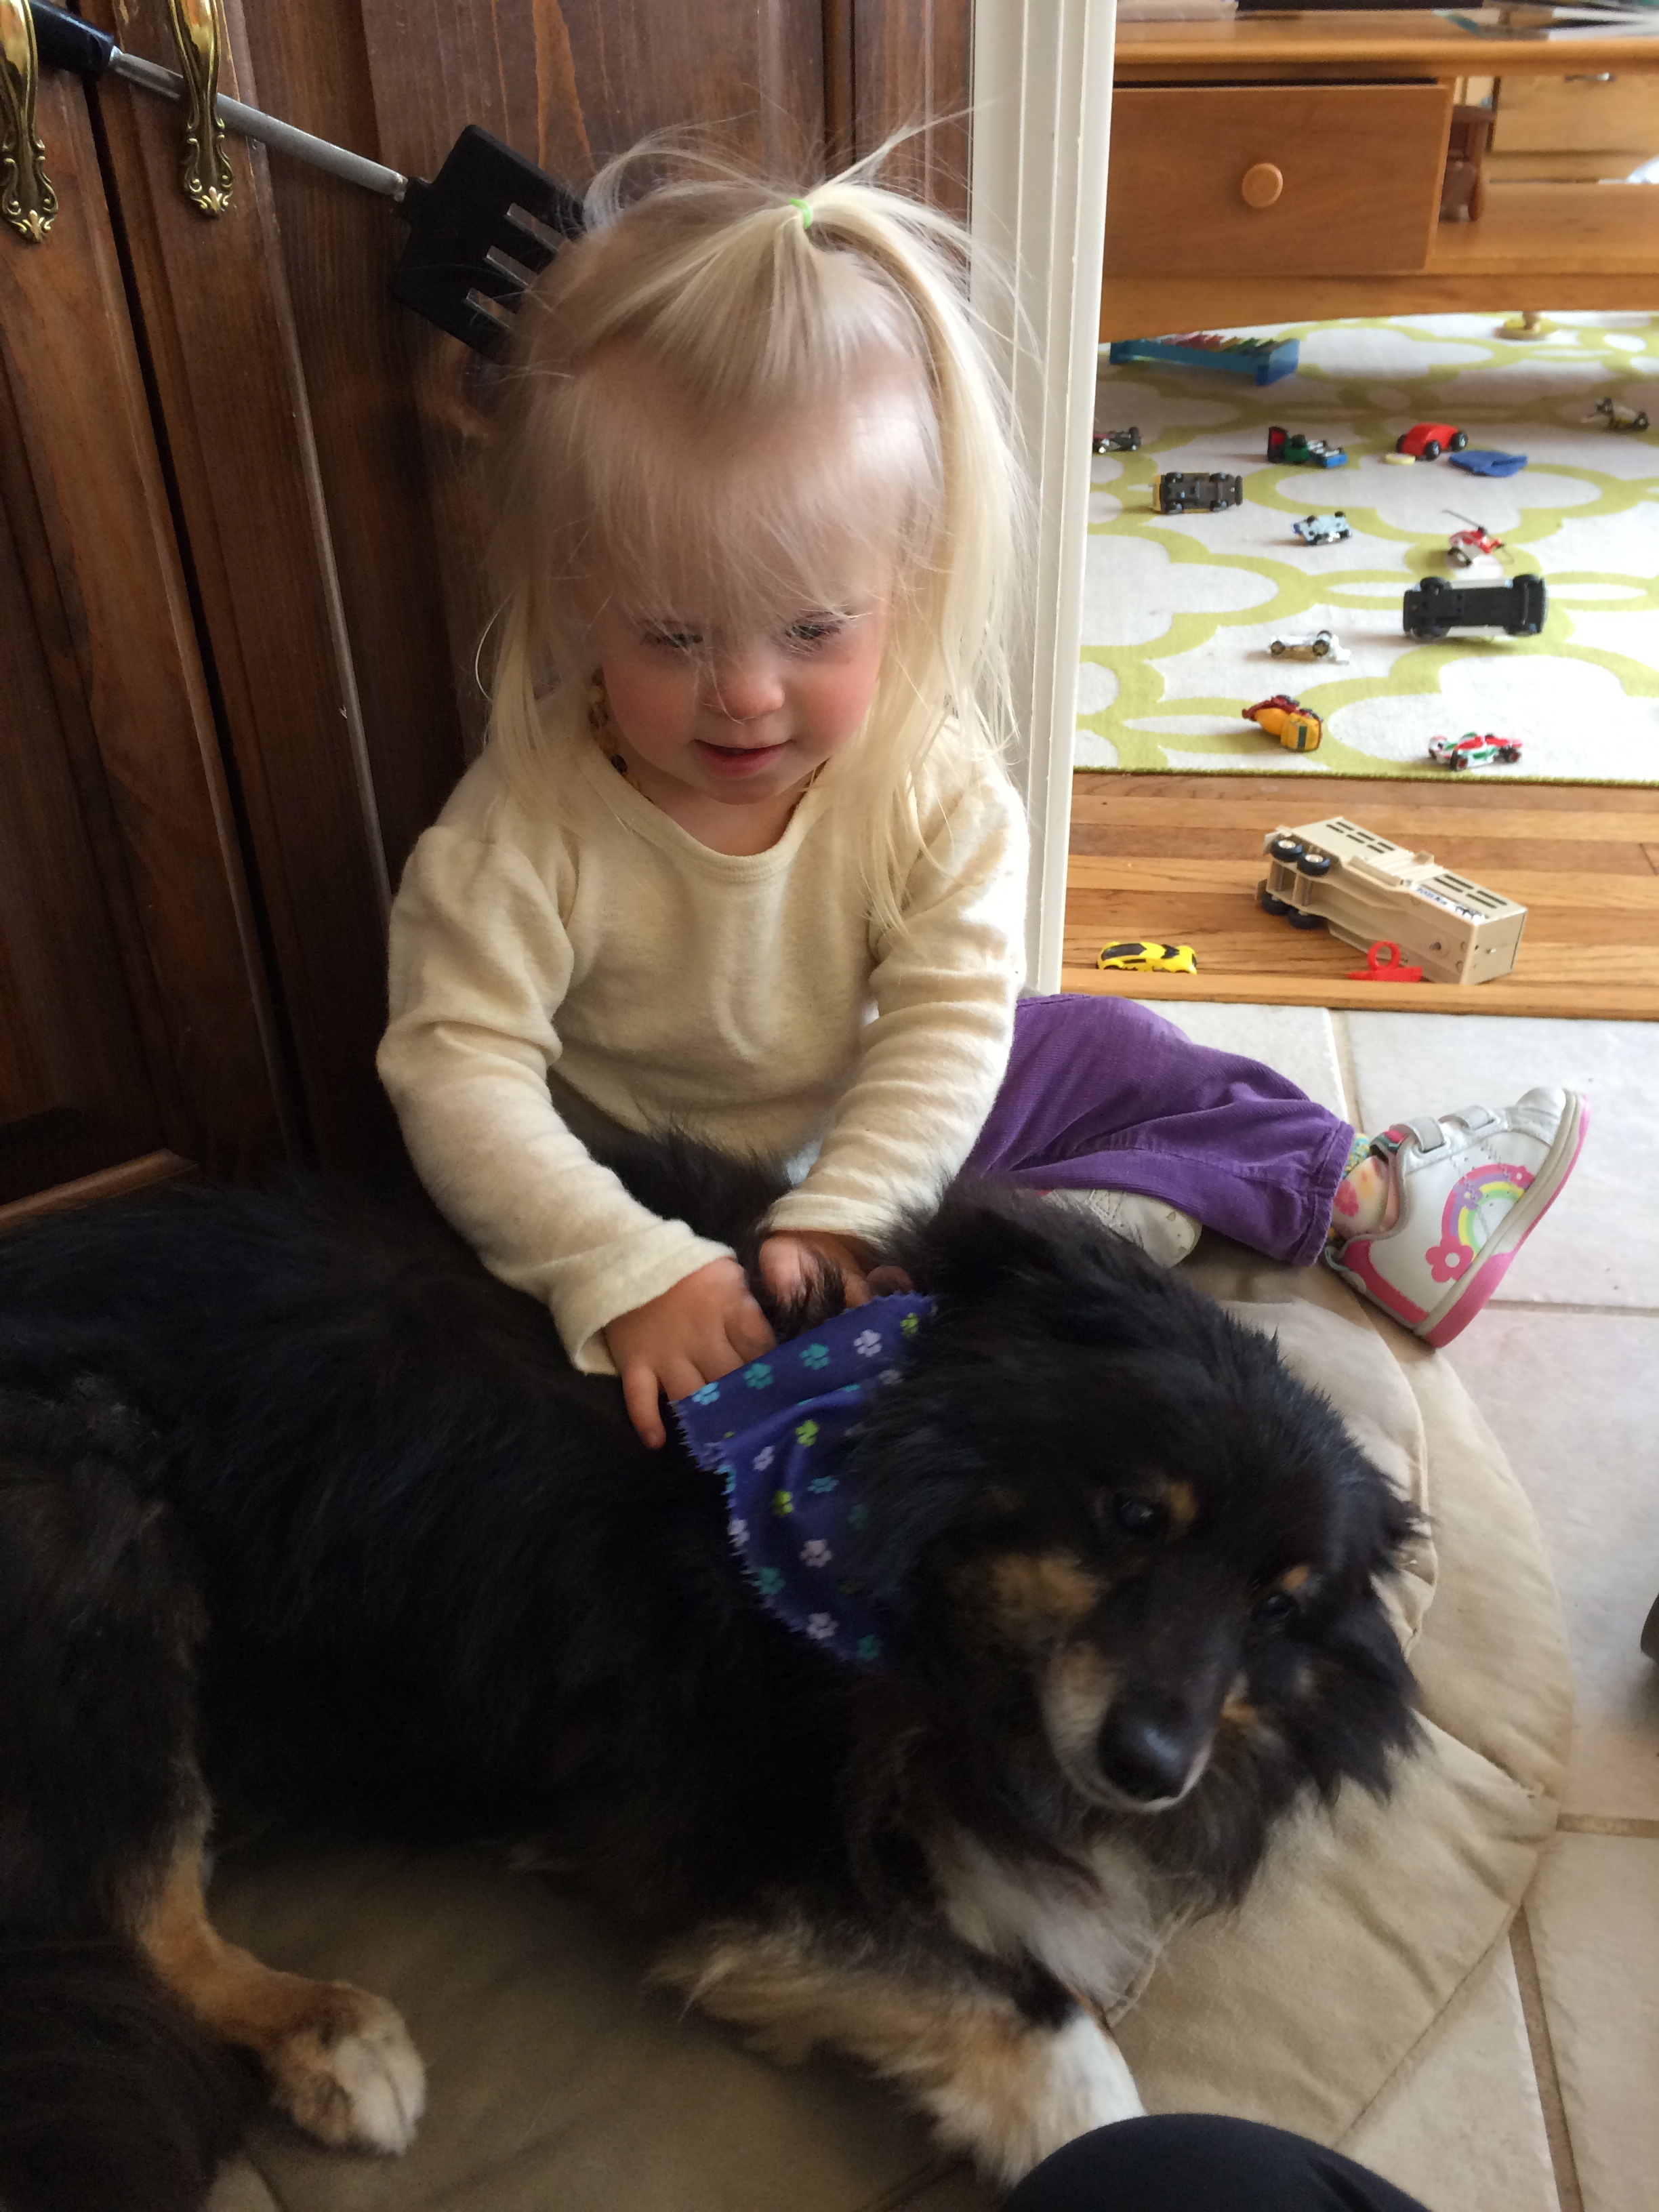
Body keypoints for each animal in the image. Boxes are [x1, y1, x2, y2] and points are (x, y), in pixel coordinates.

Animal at [0, 1144, 1420, 2210]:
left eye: (1278, 1606)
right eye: (1131, 1512)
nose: (1150, 1768)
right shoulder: (739, 1843)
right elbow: (1044, 2015)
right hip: (99, 1519)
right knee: (139, 1909)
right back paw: (331, 2035)